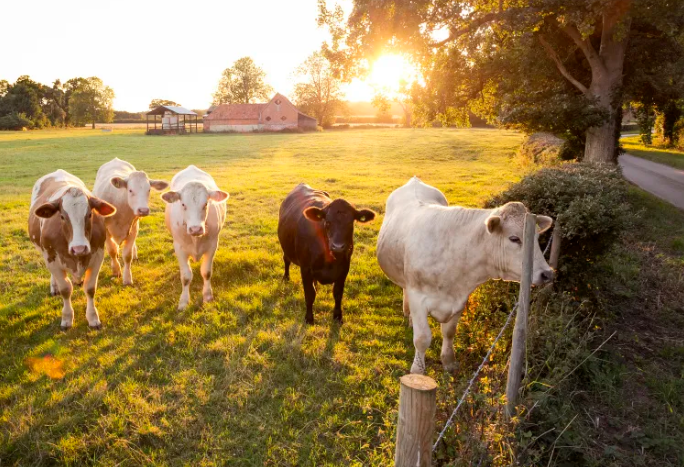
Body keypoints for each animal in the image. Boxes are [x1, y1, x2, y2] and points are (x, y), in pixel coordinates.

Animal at [27, 170, 116, 330]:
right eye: (62, 216)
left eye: (90, 214)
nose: (79, 248)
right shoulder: (52, 259)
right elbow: (65, 289)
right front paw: (67, 318)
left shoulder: (97, 256)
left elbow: (90, 288)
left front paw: (93, 317)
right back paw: (54, 286)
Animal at [92, 159, 168, 288]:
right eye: (130, 190)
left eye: (148, 190)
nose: (143, 210)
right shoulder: (105, 230)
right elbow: (112, 250)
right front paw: (116, 270)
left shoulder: (133, 228)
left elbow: (127, 255)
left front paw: (127, 278)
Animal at [161, 167, 230, 310]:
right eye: (183, 204)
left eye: (206, 204)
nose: (195, 229)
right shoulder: (179, 248)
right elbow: (186, 276)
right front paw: (184, 301)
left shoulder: (212, 245)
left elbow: (206, 272)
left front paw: (207, 296)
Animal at [276, 184, 376, 326]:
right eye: (327, 222)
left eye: (350, 223)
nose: (338, 246)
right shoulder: (305, 268)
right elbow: (309, 294)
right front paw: (309, 318)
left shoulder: (344, 268)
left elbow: (338, 293)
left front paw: (338, 316)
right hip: (286, 248)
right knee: (286, 260)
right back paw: (286, 277)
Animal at [376, 177, 552, 374]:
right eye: (514, 238)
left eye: (536, 237)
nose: (547, 273)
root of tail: (415, 180)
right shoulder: (418, 297)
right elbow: (422, 339)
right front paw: (417, 370)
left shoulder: (460, 298)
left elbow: (449, 332)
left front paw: (449, 361)